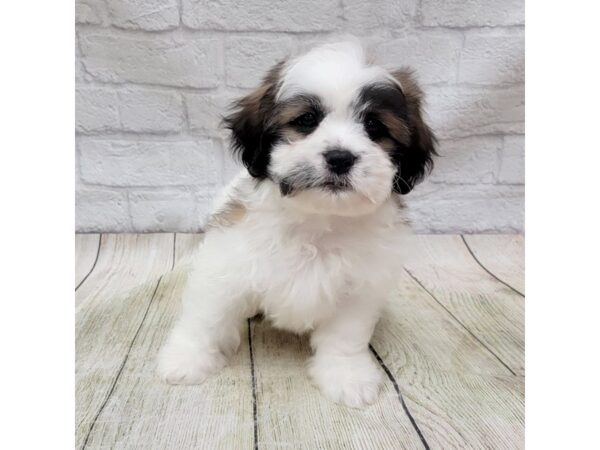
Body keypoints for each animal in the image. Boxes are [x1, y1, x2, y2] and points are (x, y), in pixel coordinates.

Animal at [158, 39, 436, 408]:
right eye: (306, 120)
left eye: (375, 128)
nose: (340, 157)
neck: (318, 220)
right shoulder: (226, 265)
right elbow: (207, 316)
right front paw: (187, 359)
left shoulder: (359, 290)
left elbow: (345, 338)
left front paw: (346, 376)